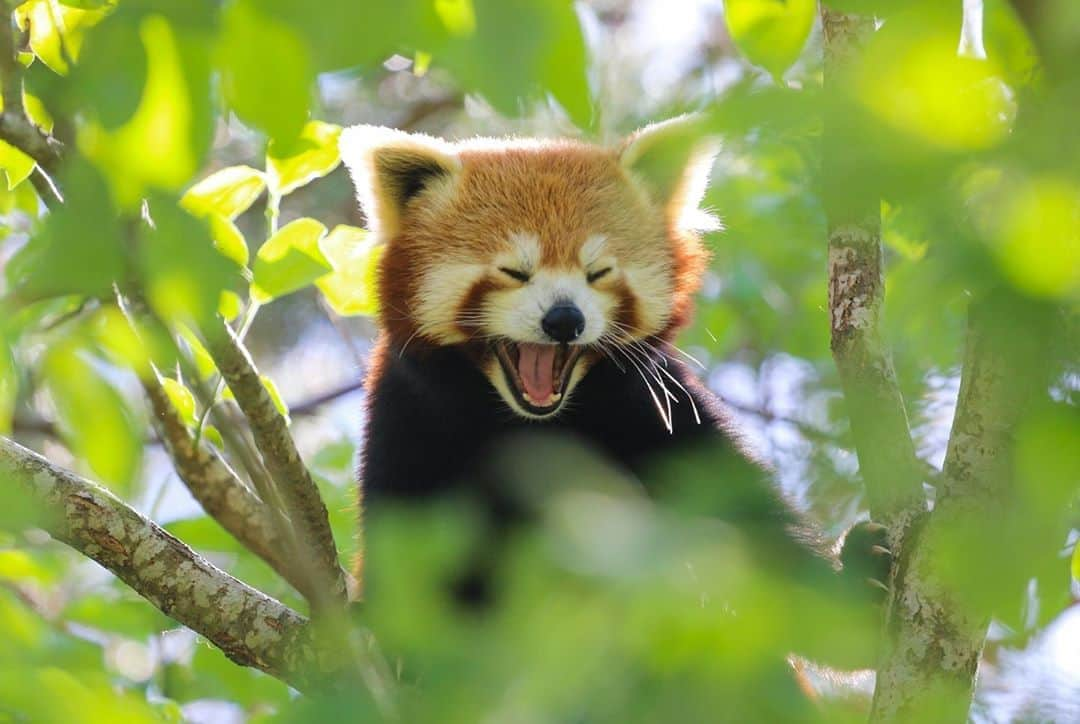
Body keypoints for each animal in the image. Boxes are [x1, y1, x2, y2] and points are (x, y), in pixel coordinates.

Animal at [339, 120, 885, 648]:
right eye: (515, 271)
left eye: (597, 272)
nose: (564, 319)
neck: (530, 423)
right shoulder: (406, 414)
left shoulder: (659, 405)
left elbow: (754, 527)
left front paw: (854, 578)